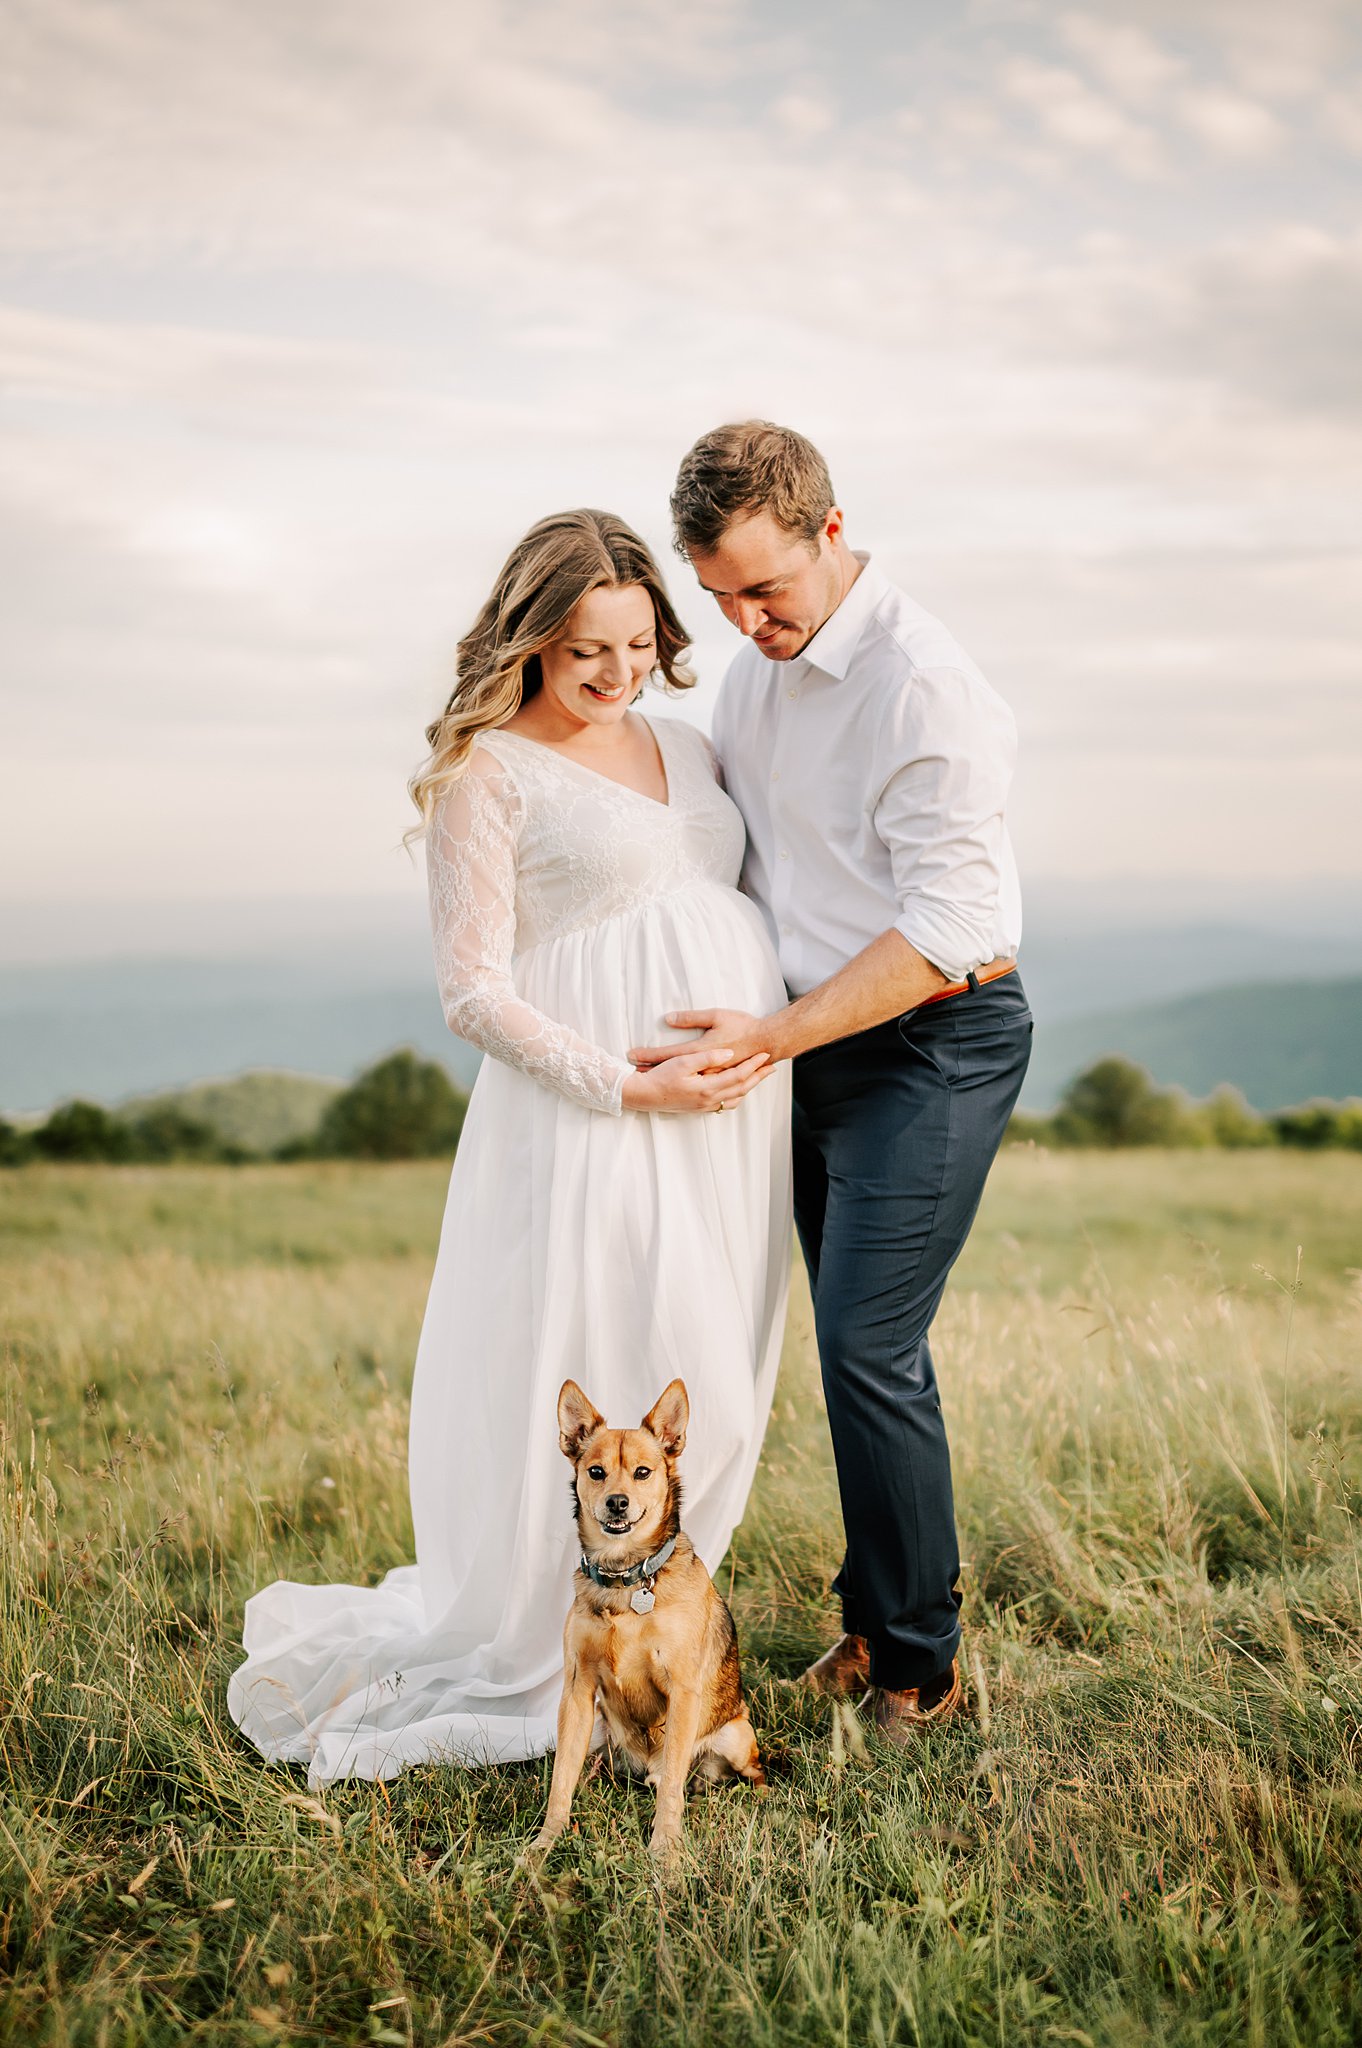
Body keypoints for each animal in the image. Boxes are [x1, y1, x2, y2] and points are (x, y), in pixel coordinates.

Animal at [528, 1368, 765, 1867]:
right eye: (595, 1472)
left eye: (643, 1472)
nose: (617, 1502)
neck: (626, 1580)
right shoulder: (577, 1692)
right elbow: (560, 1779)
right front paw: (544, 1842)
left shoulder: (682, 1689)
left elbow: (672, 1786)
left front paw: (666, 1849)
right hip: (597, 1731)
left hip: (736, 1735)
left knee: (738, 1773)